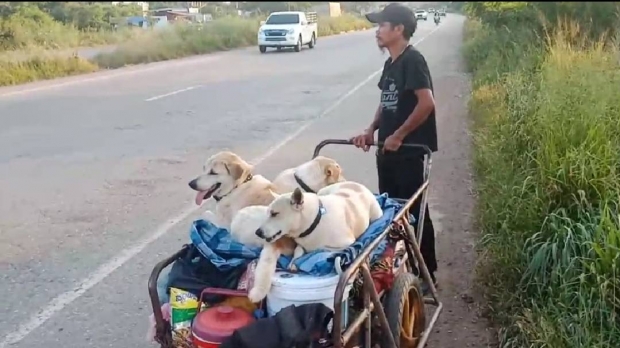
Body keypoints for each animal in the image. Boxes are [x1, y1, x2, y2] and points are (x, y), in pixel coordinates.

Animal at [247, 181, 382, 304]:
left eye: (274, 214)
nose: (257, 232)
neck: (313, 223)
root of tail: (355, 183)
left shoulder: (347, 244)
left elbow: (319, 249)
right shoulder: (300, 243)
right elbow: (298, 251)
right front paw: (294, 262)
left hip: (376, 215)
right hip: (323, 191)